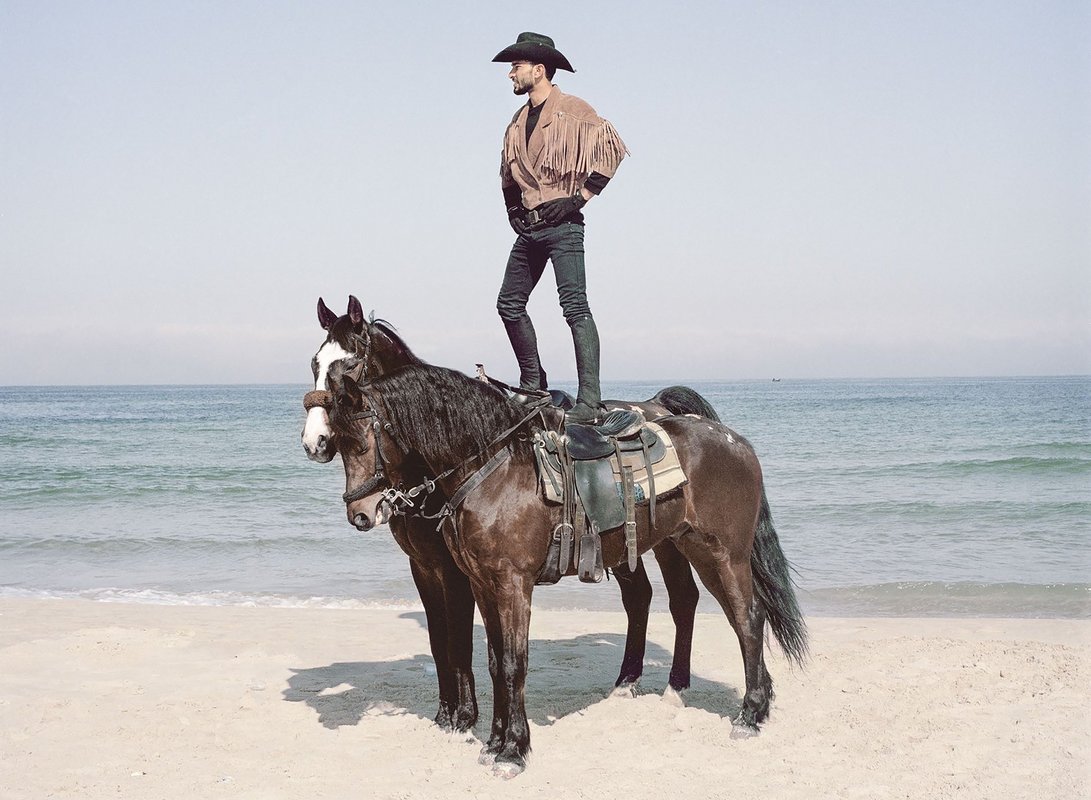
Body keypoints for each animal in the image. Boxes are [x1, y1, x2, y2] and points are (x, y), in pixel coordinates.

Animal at [303, 294, 715, 729]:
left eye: (349, 365)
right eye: (315, 363)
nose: (316, 442)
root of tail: (655, 406)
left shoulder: (456, 571)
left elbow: (460, 642)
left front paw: (465, 716)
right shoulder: (425, 567)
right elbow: (439, 641)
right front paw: (446, 713)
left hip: (669, 540)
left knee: (682, 598)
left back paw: (674, 688)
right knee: (640, 596)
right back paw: (625, 683)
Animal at [327, 357, 807, 777]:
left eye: (363, 441)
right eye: (338, 445)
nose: (360, 514)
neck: (493, 471)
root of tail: (734, 440)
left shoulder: (512, 585)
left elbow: (514, 664)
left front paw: (513, 751)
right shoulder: (482, 585)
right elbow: (495, 662)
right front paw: (494, 743)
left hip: (723, 555)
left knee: (748, 619)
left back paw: (750, 714)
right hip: (687, 547)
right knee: (713, 610)